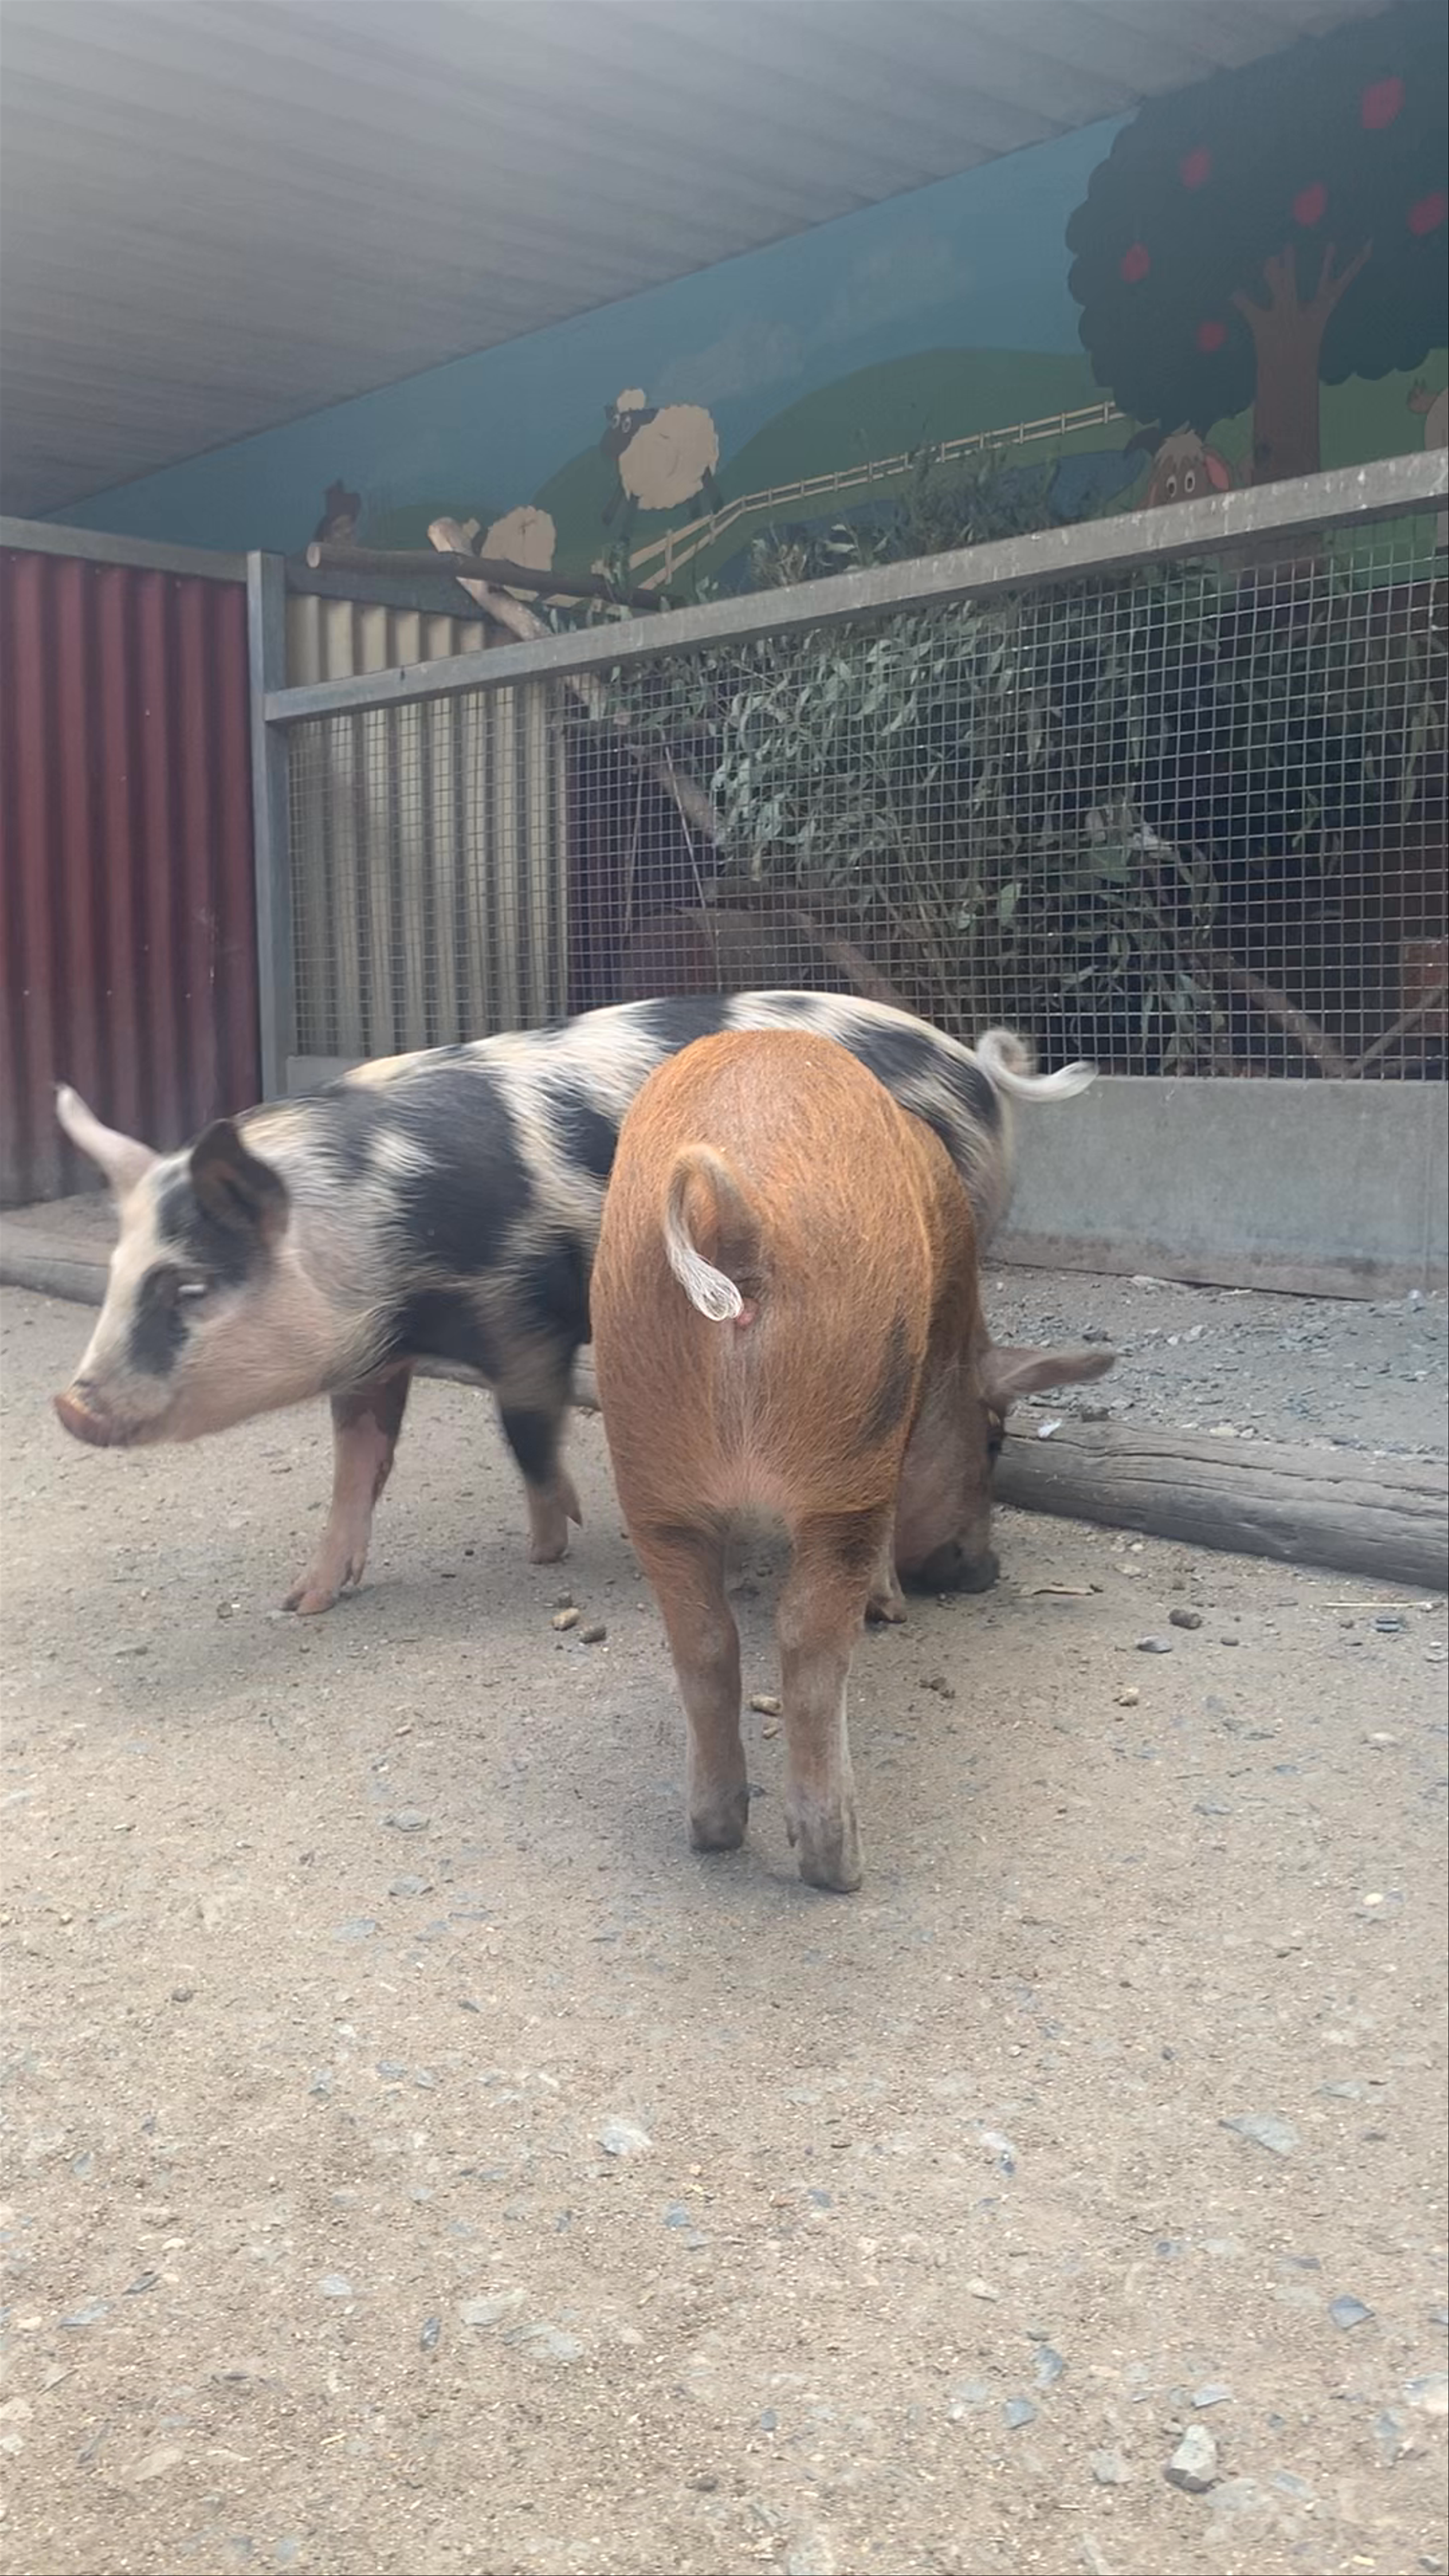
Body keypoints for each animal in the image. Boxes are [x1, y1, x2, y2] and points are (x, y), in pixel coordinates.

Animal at [53, 993, 1096, 1616]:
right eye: (118, 1270)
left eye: (189, 1286)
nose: (70, 1404)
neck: (373, 1211)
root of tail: (974, 1064)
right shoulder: (372, 1349)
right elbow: (358, 1463)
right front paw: (305, 1599)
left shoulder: (520, 1307)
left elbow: (526, 1427)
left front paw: (553, 1545)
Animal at [591, 1028, 1112, 1890]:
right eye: (996, 1438)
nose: (985, 1571)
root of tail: (736, 1220)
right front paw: (894, 1604)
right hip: (846, 1452)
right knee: (809, 1638)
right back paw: (840, 1865)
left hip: (648, 1457)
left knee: (703, 1638)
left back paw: (715, 1833)